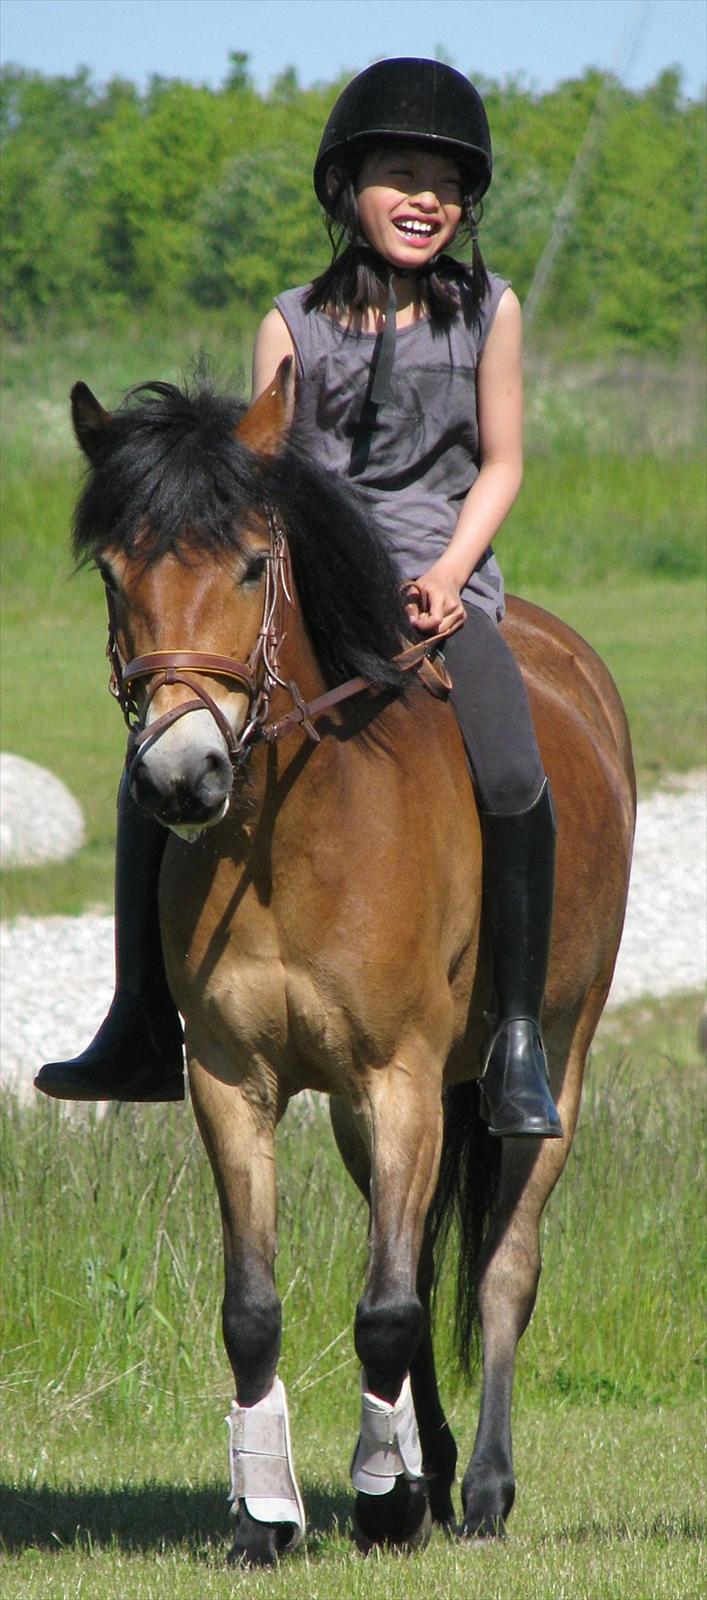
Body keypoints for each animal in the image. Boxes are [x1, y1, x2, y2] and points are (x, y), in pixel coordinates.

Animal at [70, 360, 636, 1561]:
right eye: (114, 573)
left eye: (251, 562)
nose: (181, 777)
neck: (293, 839)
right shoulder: (234, 1083)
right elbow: (257, 1309)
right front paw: (269, 1514)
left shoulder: (400, 1079)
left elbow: (387, 1309)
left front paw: (380, 1499)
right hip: (355, 1113)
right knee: (418, 1259)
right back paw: (428, 1474)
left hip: (549, 1067)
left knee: (503, 1264)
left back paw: (479, 1490)